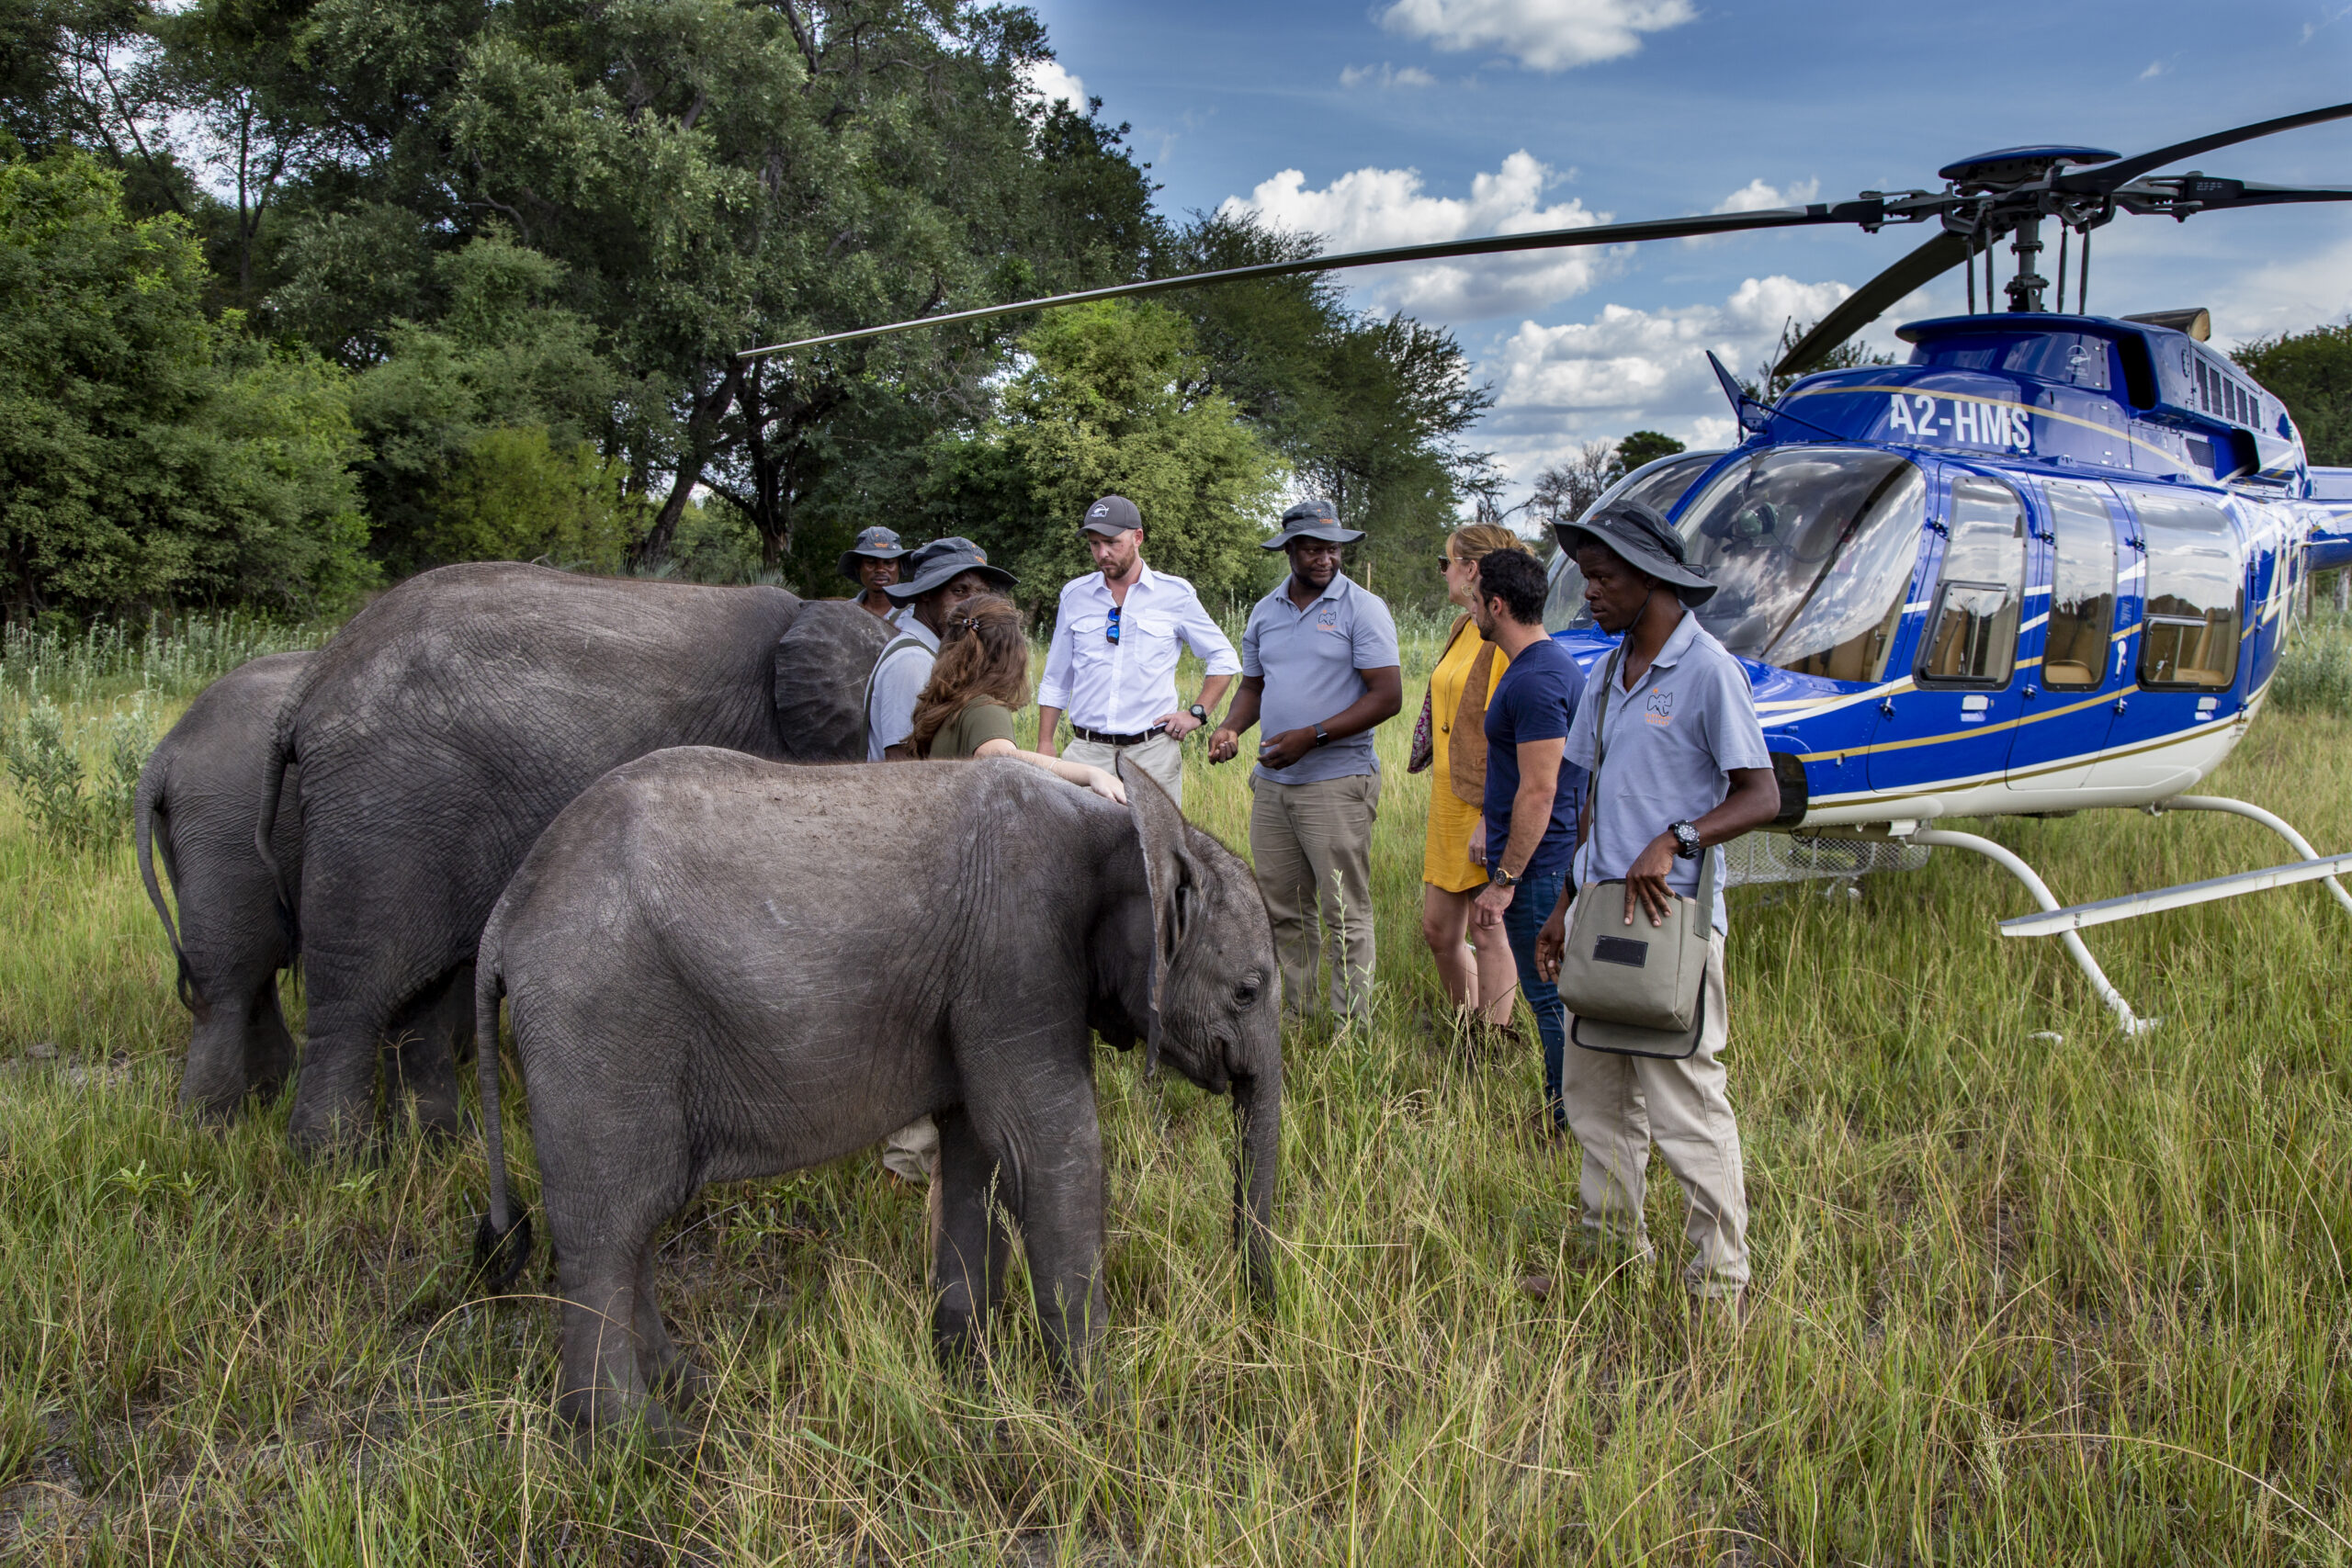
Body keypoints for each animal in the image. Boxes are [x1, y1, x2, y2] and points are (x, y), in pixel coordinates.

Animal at [254, 564, 884, 1152]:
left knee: (419, 993)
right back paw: (336, 1163)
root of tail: (311, 684)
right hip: (383, 808)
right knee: (353, 994)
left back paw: (440, 1144)